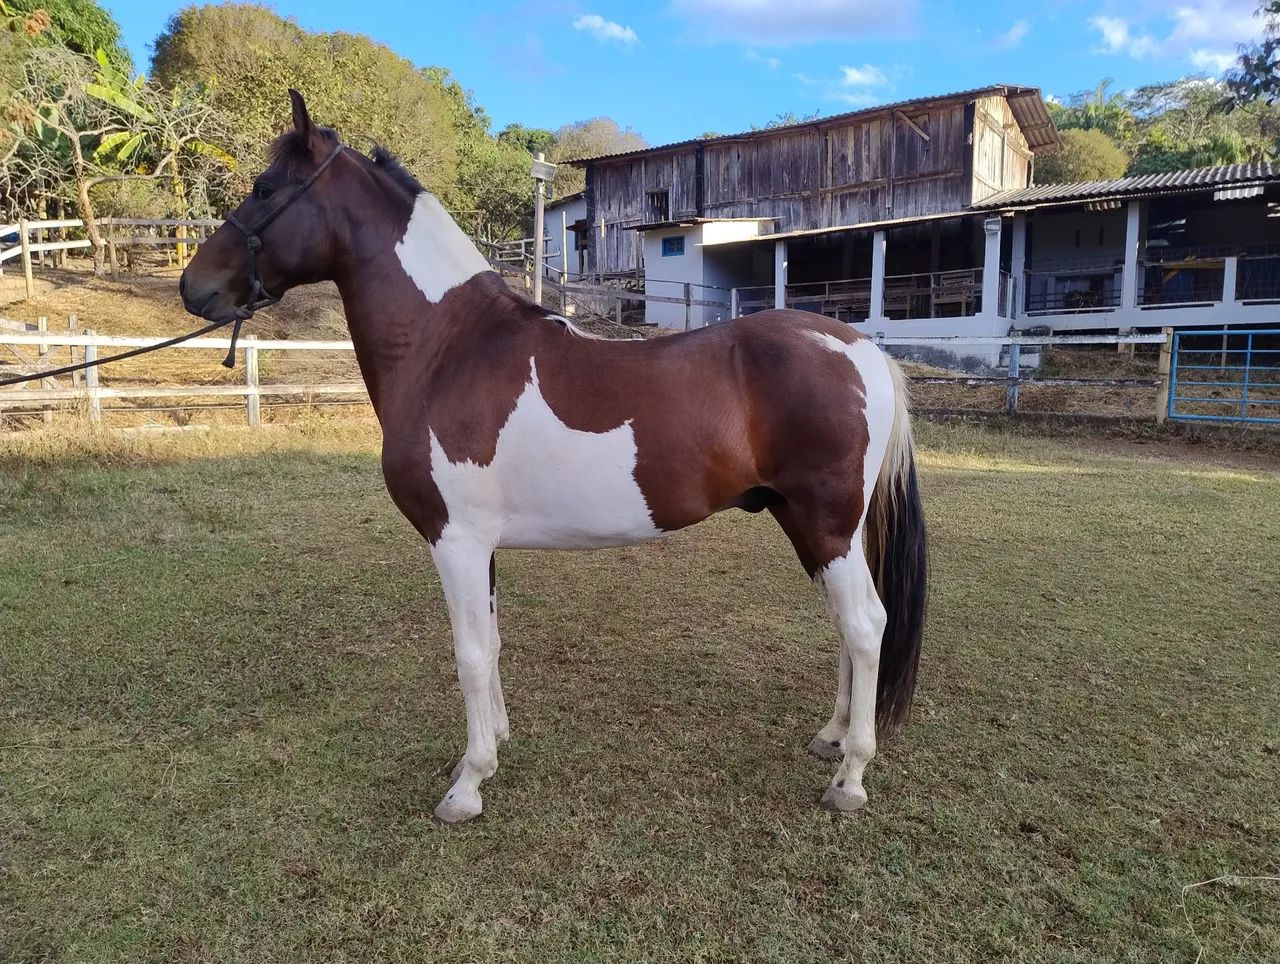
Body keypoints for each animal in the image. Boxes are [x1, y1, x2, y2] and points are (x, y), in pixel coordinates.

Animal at [180, 91, 928, 824]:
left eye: (264, 188)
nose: (195, 287)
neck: (449, 347)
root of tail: (863, 350)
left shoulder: (454, 538)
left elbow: (469, 654)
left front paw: (468, 785)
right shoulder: (479, 545)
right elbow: (491, 642)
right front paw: (494, 744)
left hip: (825, 524)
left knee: (866, 625)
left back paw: (850, 777)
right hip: (811, 524)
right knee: (846, 625)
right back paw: (831, 738)